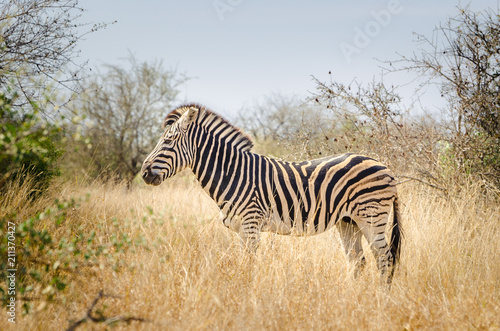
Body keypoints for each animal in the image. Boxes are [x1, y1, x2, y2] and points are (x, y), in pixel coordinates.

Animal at [141, 104, 402, 286]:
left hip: (372, 216)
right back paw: (351, 297)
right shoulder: (241, 228)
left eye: (168, 141)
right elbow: (244, 264)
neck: (233, 173)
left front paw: (245, 294)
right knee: (358, 261)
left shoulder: (251, 223)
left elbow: (249, 265)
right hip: (348, 221)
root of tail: (385, 167)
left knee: (384, 258)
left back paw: (381, 300)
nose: (144, 173)